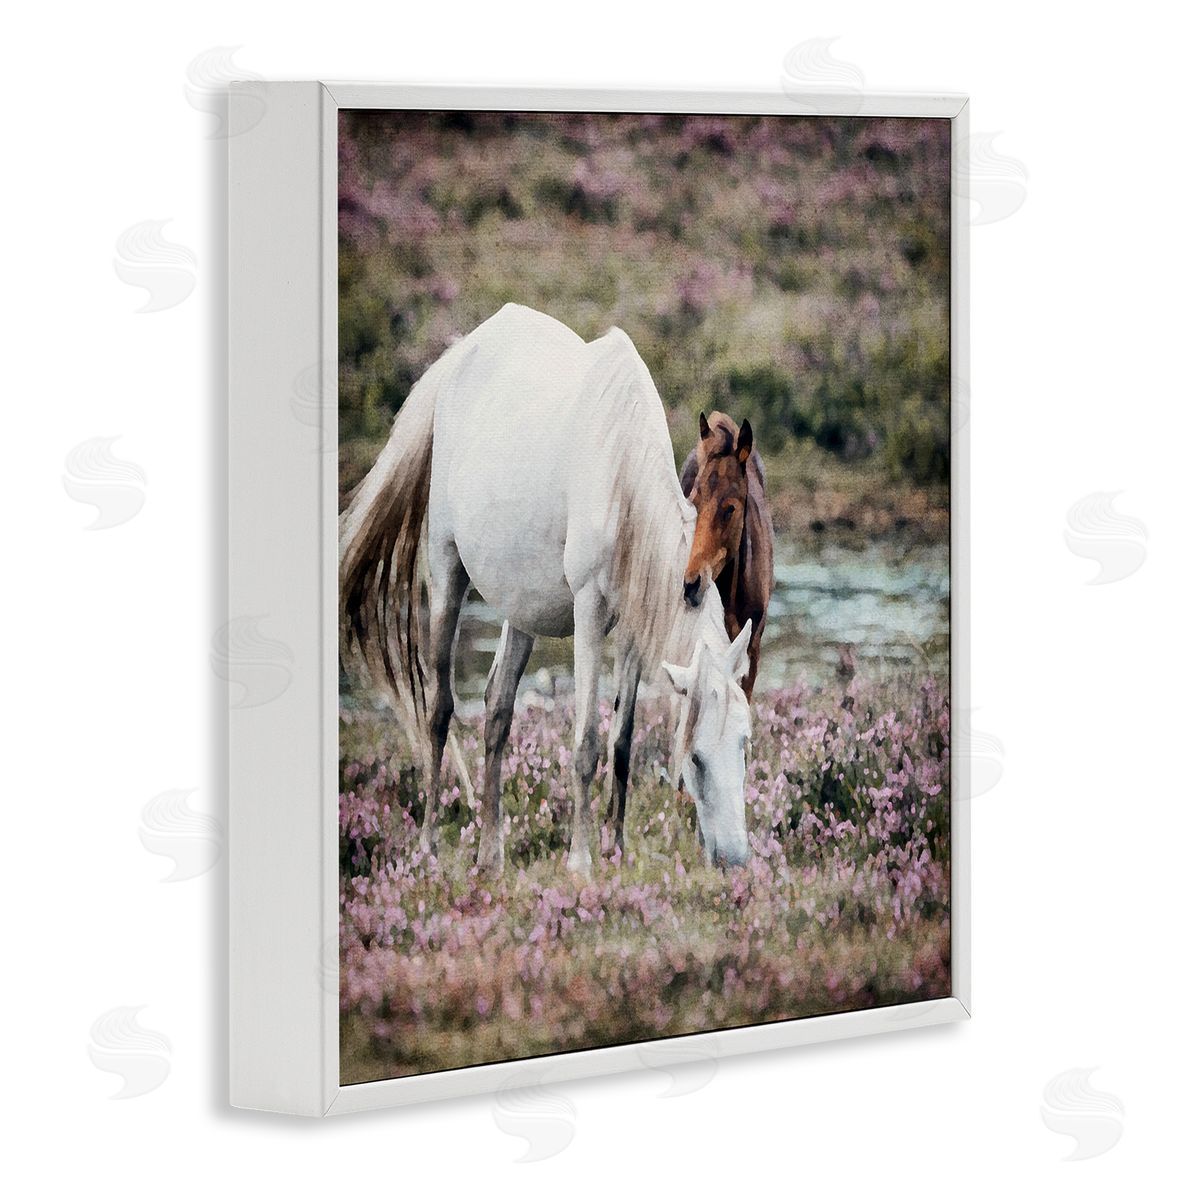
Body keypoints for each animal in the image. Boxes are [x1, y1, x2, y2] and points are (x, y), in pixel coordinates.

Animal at [340, 303, 754, 874]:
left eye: (744, 743)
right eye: (695, 756)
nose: (735, 859)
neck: (619, 473)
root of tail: (458, 358)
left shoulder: (632, 624)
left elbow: (623, 741)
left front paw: (616, 848)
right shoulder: (588, 611)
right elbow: (587, 744)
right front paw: (581, 861)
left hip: (522, 606)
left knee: (496, 707)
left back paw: (491, 853)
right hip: (446, 571)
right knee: (440, 709)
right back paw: (426, 847)